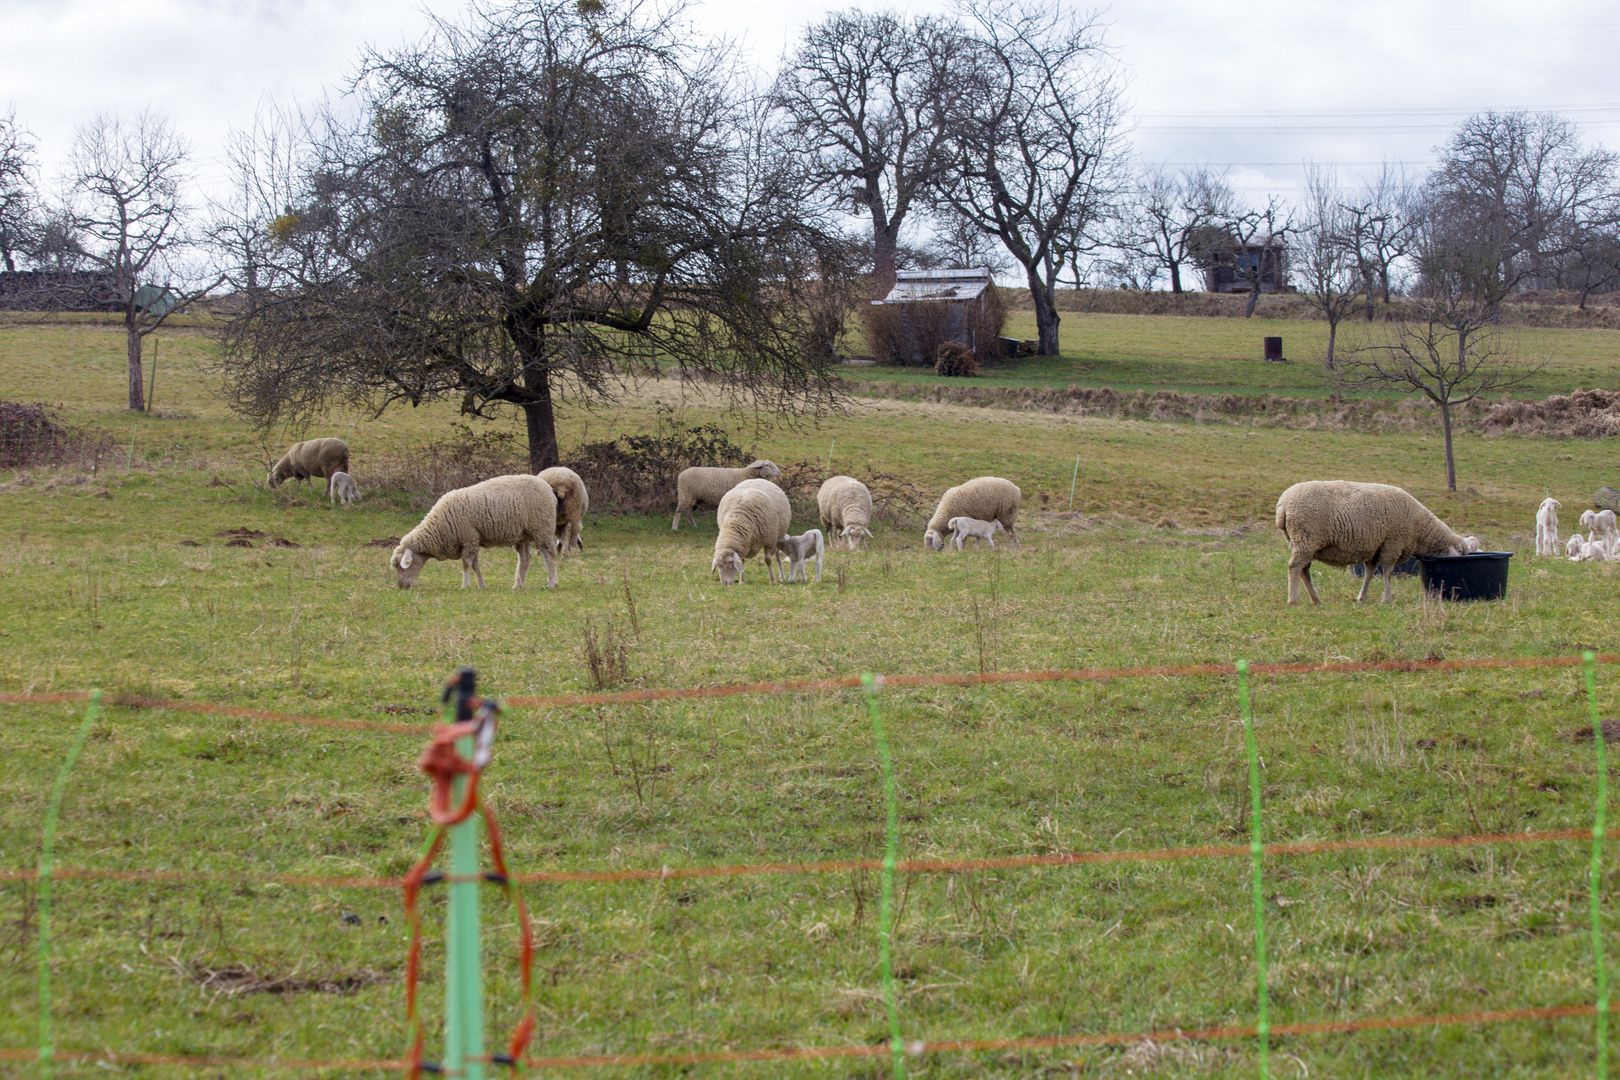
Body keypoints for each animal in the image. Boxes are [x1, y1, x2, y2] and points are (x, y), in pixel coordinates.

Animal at [388, 476, 560, 592]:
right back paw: (518, 585)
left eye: (400, 566)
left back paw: (552, 583)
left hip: (542, 528)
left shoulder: (468, 538)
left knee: (549, 554)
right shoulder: (473, 540)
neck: (439, 527)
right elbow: (475, 565)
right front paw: (482, 585)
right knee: (524, 558)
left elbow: (466, 564)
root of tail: (550, 491)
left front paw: (465, 585)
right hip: (523, 534)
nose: (401, 587)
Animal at [1276, 482, 1483, 608]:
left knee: (1304, 571)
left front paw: (1362, 597)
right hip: (1305, 539)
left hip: (1301, 542)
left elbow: (1369, 573)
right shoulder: (1393, 544)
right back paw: (1293, 600)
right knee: (1295, 567)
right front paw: (1387, 598)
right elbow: (1388, 573)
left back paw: (1316, 599)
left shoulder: (1376, 549)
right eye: (1460, 553)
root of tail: (1282, 505)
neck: (1420, 530)